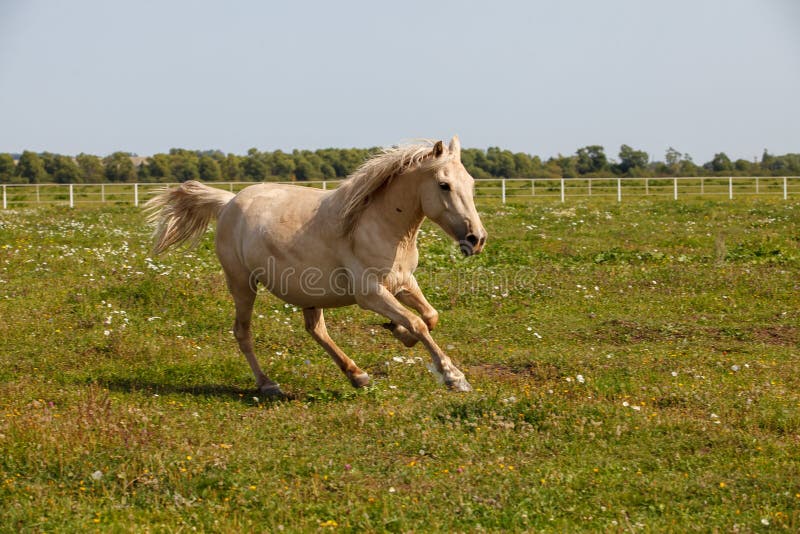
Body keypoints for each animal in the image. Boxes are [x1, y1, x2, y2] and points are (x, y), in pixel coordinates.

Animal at [145, 136, 487, 397]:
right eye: (444, 185)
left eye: (470, 183)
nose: (477, 239)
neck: (377, 225)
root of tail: (228, 202)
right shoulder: (370, 294)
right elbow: (418, 323)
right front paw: (454, 377)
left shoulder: (403, 282)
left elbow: (430, 317)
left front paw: (398, 332)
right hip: (242, 285)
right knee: (243, 332)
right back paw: (268, 385)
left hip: (309, 293)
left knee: (316, 330)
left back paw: (357, 375)